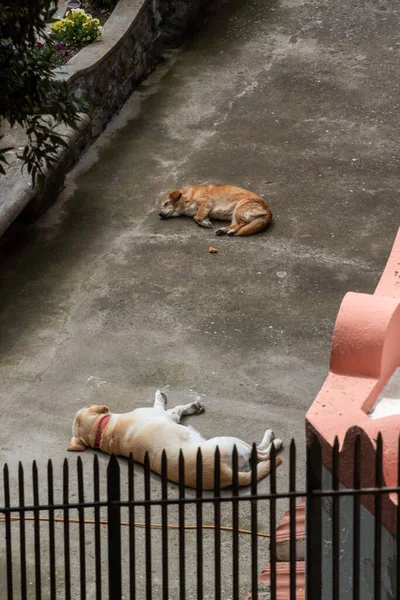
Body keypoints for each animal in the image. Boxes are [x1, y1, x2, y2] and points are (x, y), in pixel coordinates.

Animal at [68, 390, 282, 488]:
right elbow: (174, 407)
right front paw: (188, 405)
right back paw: (273, 440)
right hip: (231, 441)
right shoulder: (167, 414)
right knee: (262, 452)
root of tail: (225, 472)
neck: (103, 430)